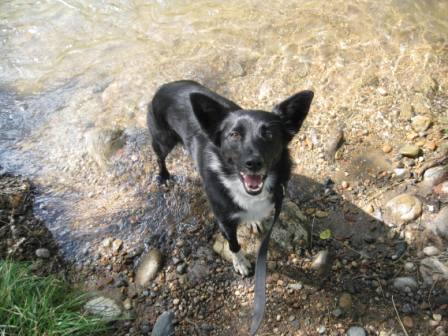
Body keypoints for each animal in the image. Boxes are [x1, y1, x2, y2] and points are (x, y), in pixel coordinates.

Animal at [147, 81, 312, 276]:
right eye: (234, 135)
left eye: (269, 134)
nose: (254, 163)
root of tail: (166, 86)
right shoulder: (224, 220)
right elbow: (233, 244)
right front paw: (240, 262)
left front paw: (253, 221)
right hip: (163, 140)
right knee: (159, 157)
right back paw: (164, 176)